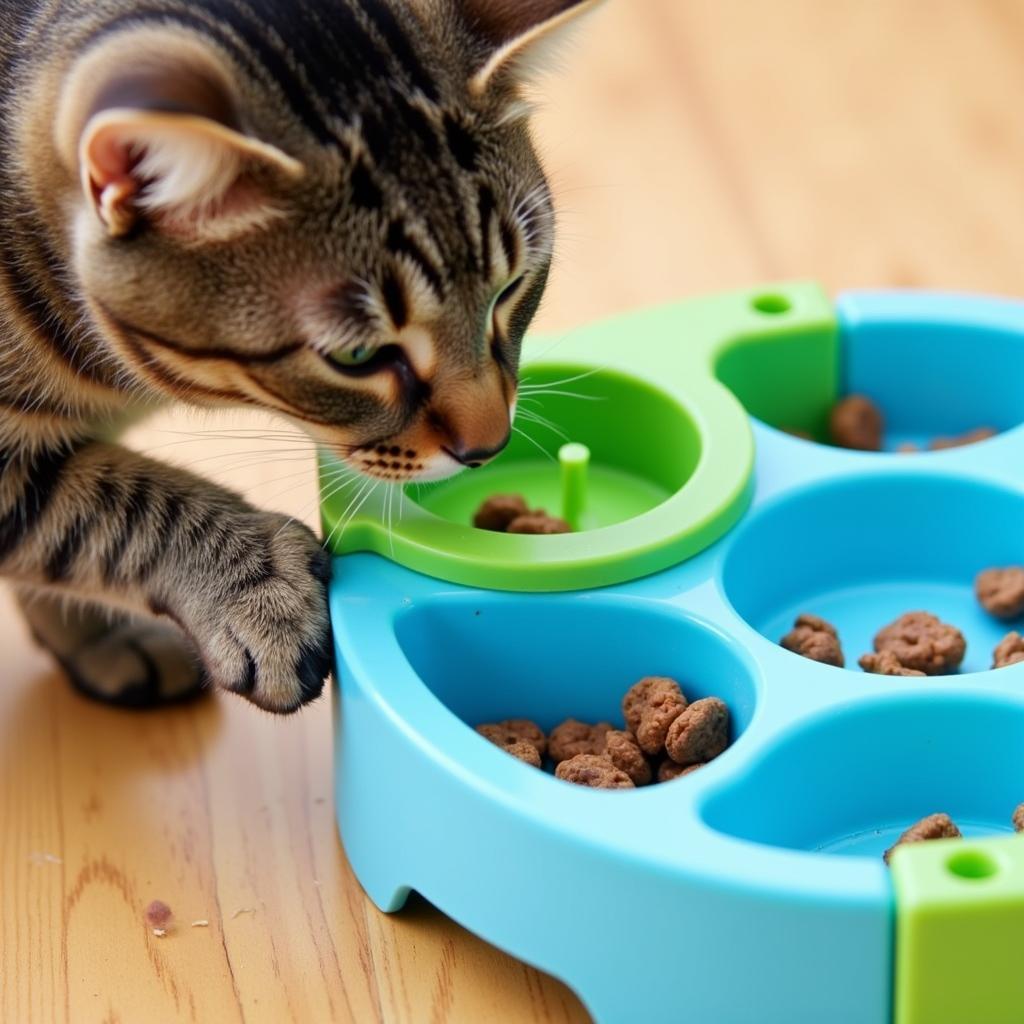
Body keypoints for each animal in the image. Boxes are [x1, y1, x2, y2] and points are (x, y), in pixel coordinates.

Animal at [0, 0, 598, 712]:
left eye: (510, 291)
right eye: (358, 355)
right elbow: (117, 506)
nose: (489, 445)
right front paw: (258, 590)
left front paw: (97, 638)